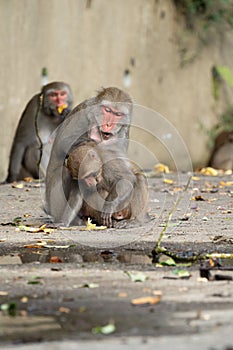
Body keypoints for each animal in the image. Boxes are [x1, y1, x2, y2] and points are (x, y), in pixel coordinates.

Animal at [45, 87, 133, 224]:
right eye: (107, 110)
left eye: (118, 114)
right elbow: (63, 143)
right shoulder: (83, 113)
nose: (108, 125)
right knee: (64, 170)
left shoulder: (124, 130)